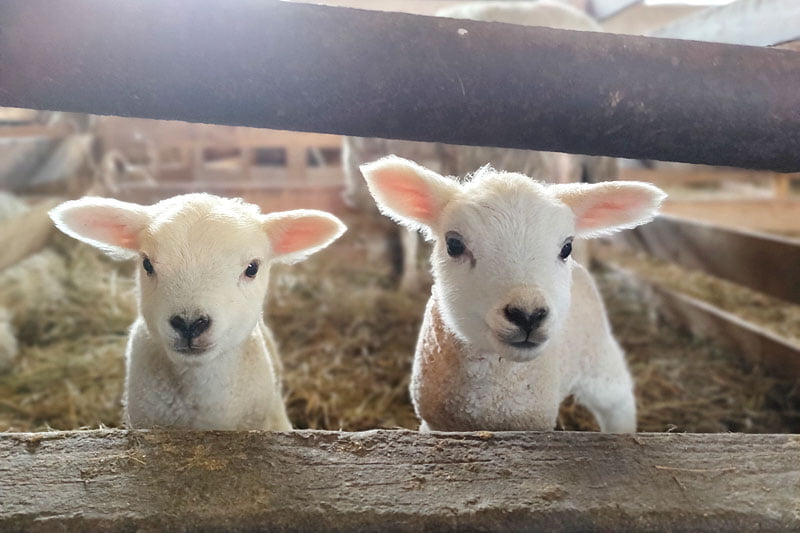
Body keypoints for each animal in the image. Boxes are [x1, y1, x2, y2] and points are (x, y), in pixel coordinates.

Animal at [361, 156, 665, 432]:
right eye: (454, 245)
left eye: (566, 247)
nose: (528, 315)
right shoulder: (435, 424)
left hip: (598, 357)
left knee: (619, 400)